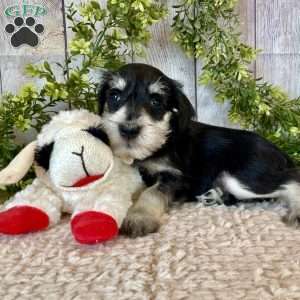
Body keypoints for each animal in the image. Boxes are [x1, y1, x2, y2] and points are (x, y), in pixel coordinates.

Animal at [99, 62, 300, 237]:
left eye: (156, 101)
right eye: (114, 96)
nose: (129, 129)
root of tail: (280, 151)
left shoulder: (174, 177)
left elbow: (151, 192)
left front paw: (139, 217)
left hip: (244, 177)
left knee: (291, 179)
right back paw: (214, 195)